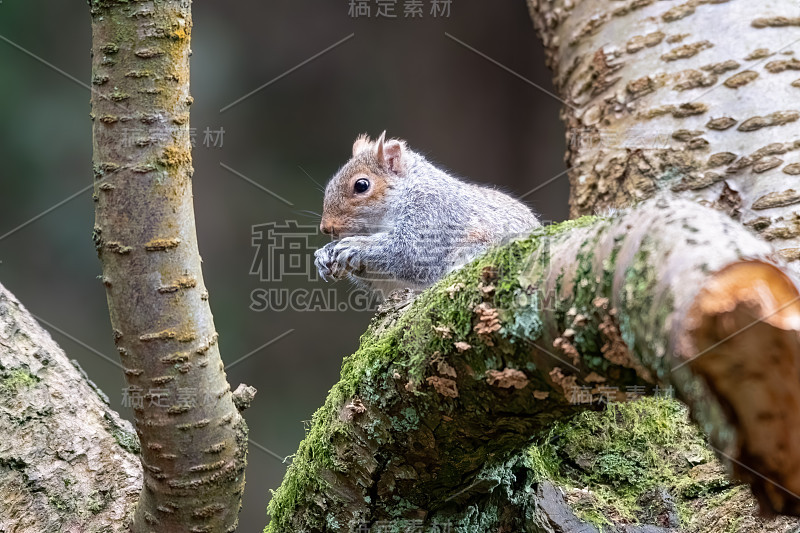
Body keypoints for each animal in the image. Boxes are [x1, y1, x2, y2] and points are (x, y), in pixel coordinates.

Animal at [316, 131, 540, 294]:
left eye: (361, 185)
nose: (326, 228)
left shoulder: (433, 211)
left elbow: (412, 253)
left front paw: (356, 245)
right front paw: (324, 254)